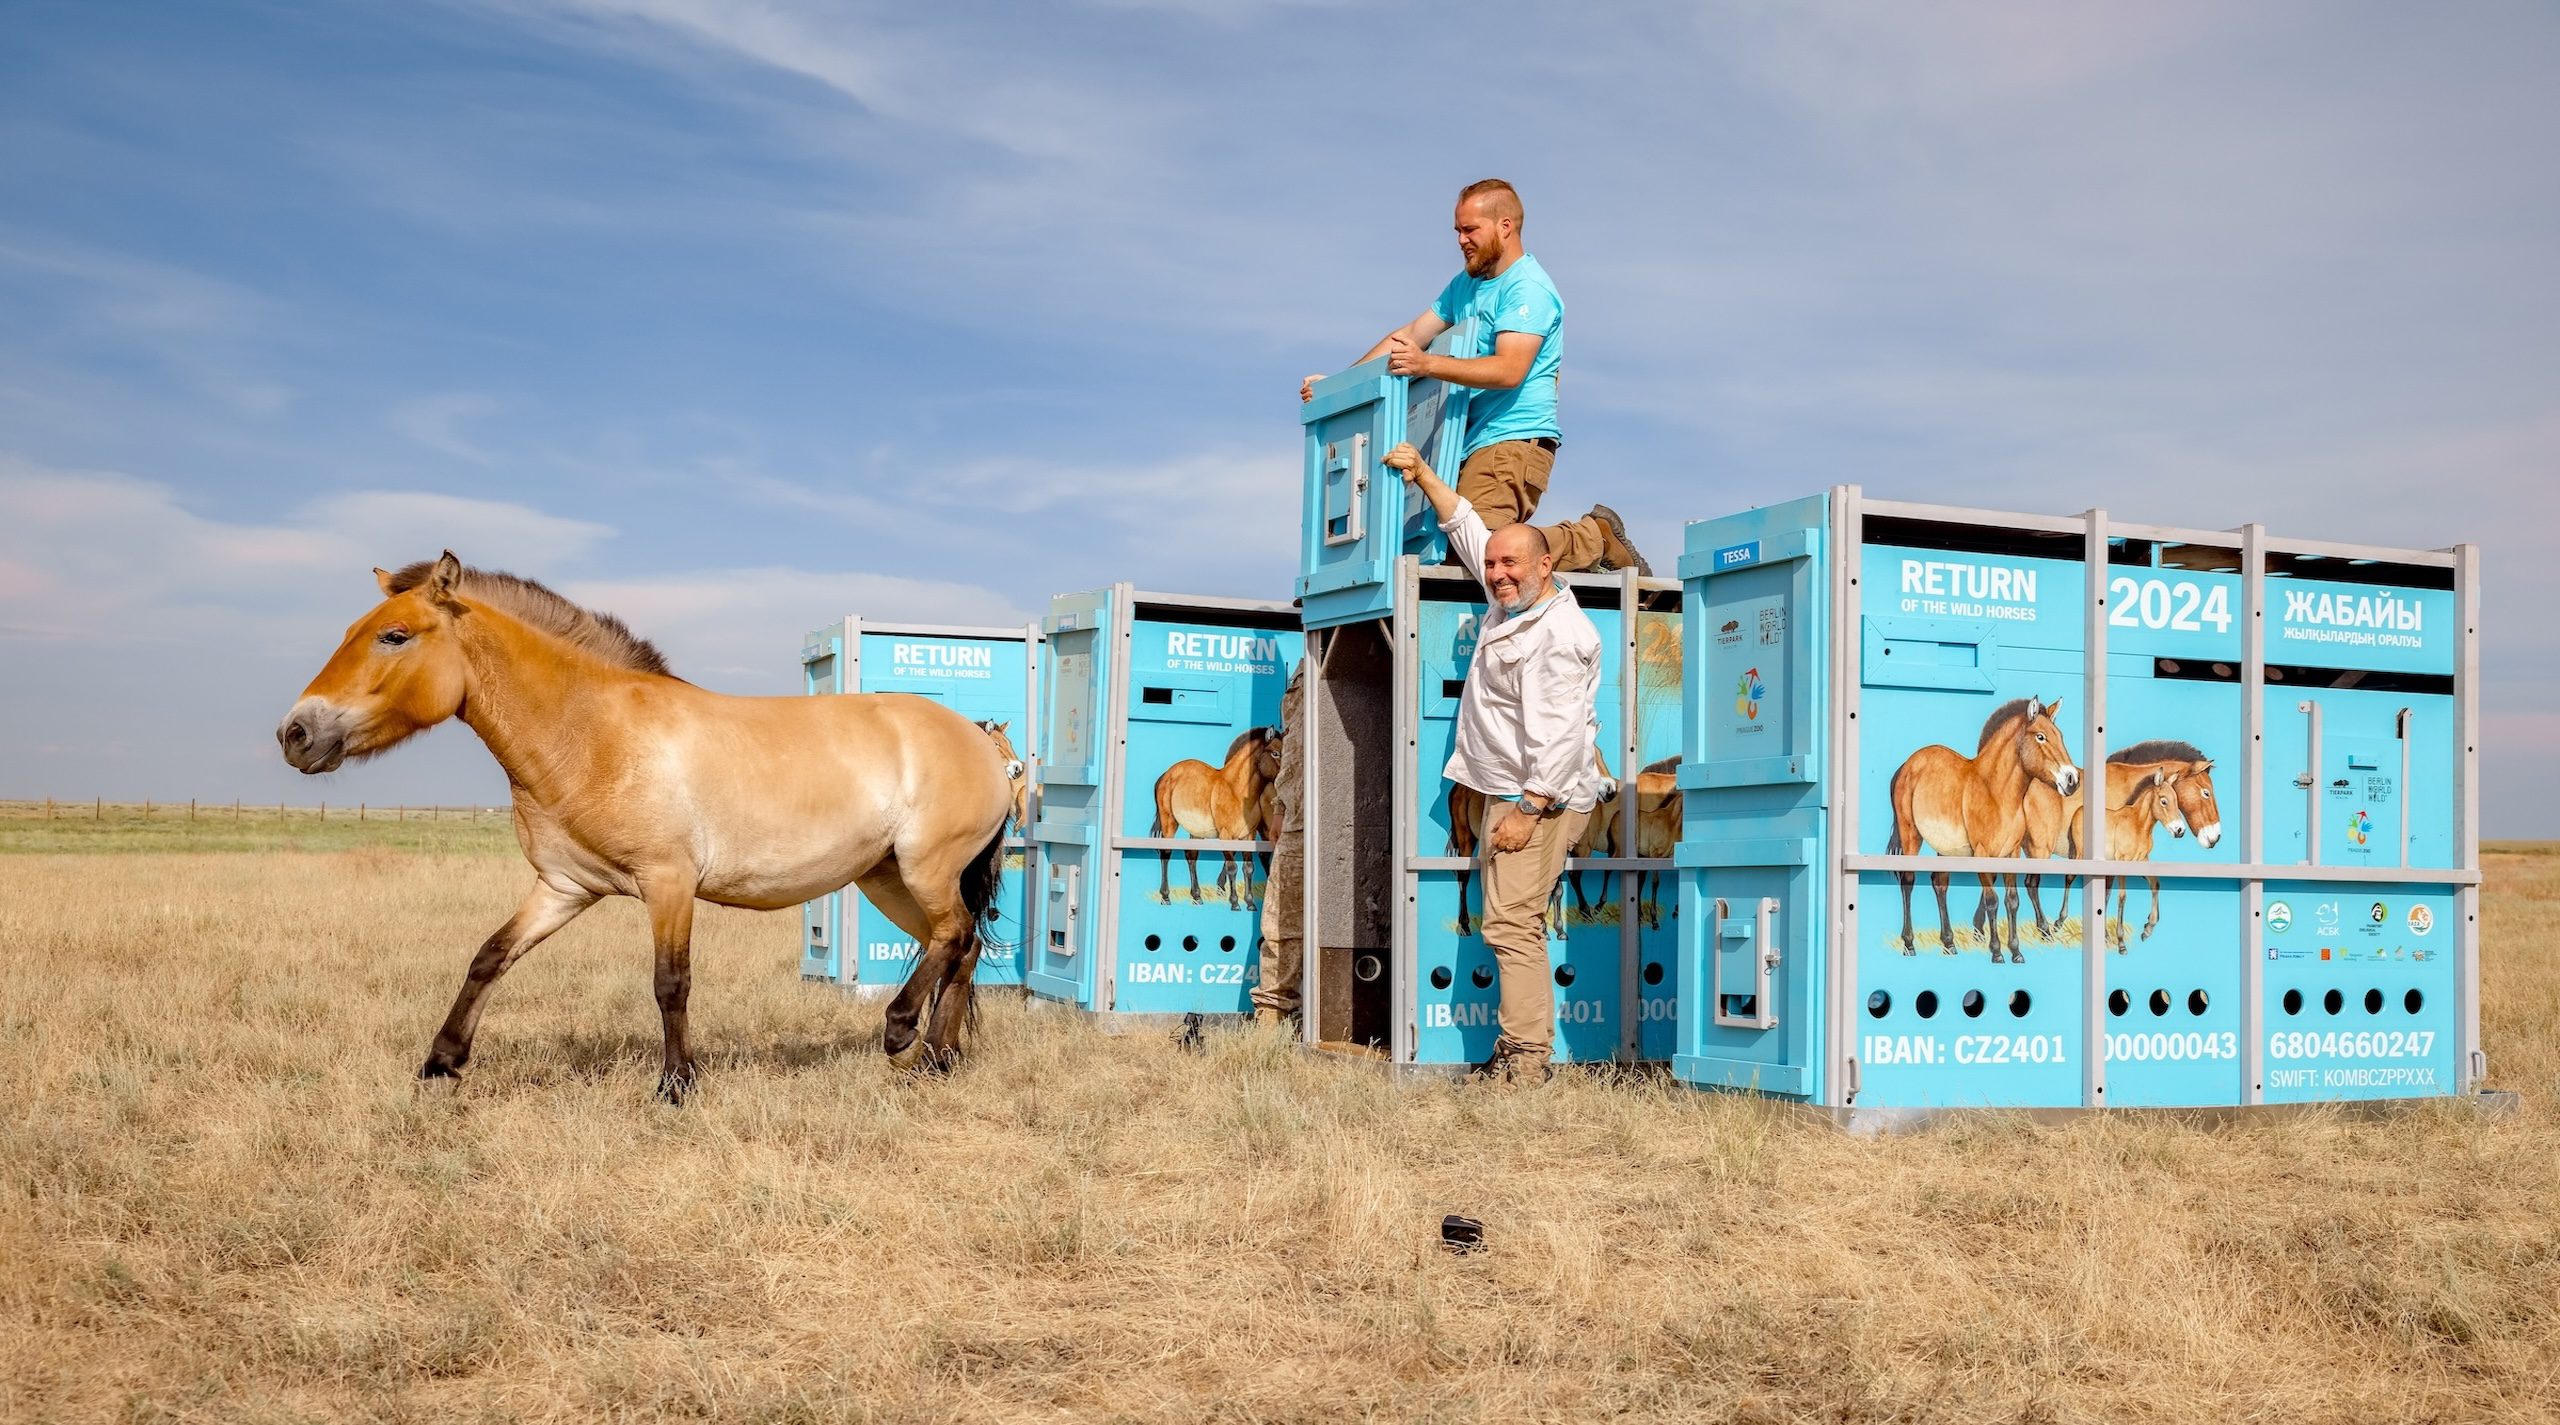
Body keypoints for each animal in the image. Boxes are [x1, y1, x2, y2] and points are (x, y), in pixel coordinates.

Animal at [276, 553, 1014, 1100]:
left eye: (394, 636)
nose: (296, 733)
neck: (594, 735)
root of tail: (985, 745)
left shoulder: (668, 884)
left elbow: (670, 982)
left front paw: (677, 1085)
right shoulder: (564, 887)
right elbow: (490, 956)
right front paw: (441, 1063)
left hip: (925, 868)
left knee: (954, 936)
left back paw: (901, 1032)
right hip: (887, 878)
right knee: (961, 946)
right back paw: (937, 1060)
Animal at [1150, 726, 1278, 909]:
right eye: (1275, 753)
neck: (1236, 790)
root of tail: (1167, 774)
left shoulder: (1249, 835)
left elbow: (1248, 867)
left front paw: (1250, 903)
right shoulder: (1226, 835)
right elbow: (1232, 866)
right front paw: (1235, 903)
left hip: (1196, 829)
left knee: (1191, 855)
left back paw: (1197, 897)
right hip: (1169, 821)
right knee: (1166, 852)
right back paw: (1166, 897)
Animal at [1886, 696, 2081, 962]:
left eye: (2060, 735)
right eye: (2041, 736)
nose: (2072, 780)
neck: (1996, 792)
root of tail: (1909, 764)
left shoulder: (2011, 854)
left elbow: (2012, 900)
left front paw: (2016, 951)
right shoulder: (1982, 853)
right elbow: (1992, 900)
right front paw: (1997, 952)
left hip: (1945, 848)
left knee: (1940, 884)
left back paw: (1949, 944)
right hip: (1910, 836)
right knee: (1908, 881)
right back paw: (1909, 944)